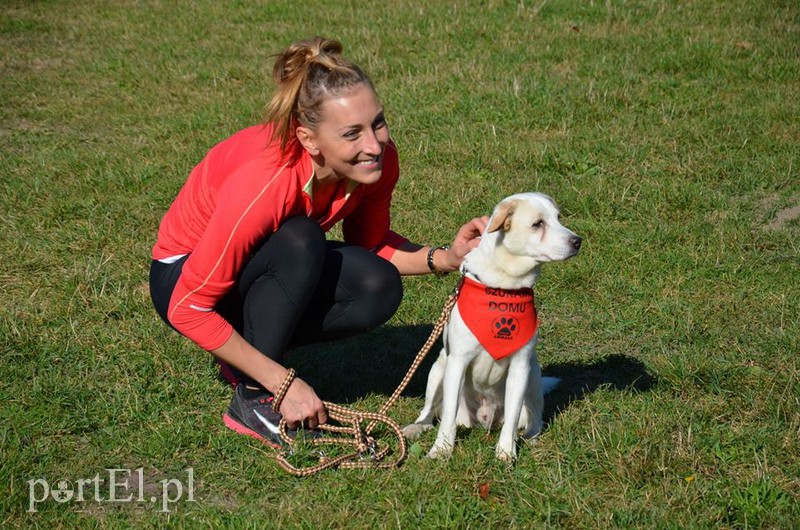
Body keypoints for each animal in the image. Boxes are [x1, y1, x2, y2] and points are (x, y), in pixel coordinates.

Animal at [406, 191, 580, 458]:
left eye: (558, 218)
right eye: (538, 224)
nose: (577, 241)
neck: (505, 285)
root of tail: (483, 420)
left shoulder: (520, 366)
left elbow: (512, 418)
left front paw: (506, 453)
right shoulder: (457, 362)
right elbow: (446, 418)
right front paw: (442, 449)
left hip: (533, 373)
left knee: (534, 417)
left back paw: (531, 437)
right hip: (438, 368)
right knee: (429, 412)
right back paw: (415, 428)